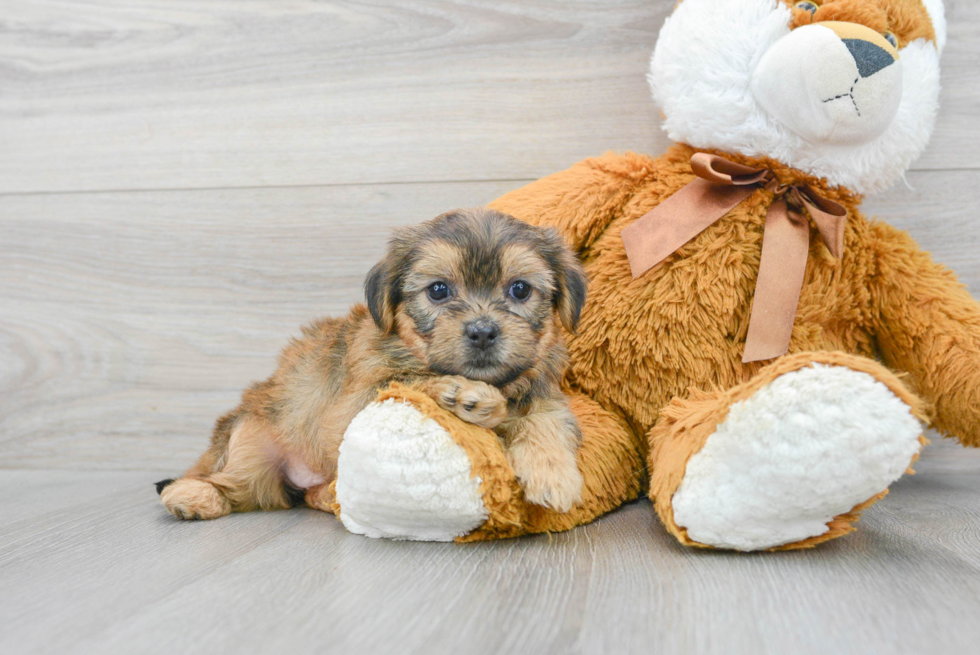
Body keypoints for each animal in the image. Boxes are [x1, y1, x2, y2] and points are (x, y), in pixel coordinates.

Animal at [160, 209, 584, 524]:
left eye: (520, 289)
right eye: (438, 290)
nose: (482, 332)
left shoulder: (544, 391)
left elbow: (545, 418)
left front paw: (553, 472)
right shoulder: (353, 402)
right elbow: (408, 379)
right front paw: (465, 393)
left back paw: (326, 495)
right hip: (252, 446)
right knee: (230, 483)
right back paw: (192, 495)